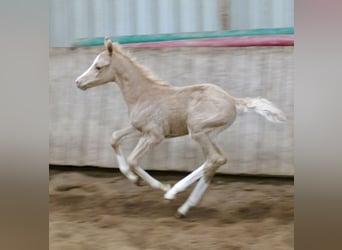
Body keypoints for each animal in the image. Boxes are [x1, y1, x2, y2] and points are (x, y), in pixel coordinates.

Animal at [75, 36, 286, 217]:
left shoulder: (155, 136)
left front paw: (160, 186)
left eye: (98, 66)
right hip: (210, 134)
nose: (78, 82)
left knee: (214, 159)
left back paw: (174, 192)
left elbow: (133, 160)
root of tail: (233, 101)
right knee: (218, 160)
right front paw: (133, 179)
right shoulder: (139, 129)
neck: (143, 94)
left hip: (197, 130)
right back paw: (184, 208)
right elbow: (114, 138)